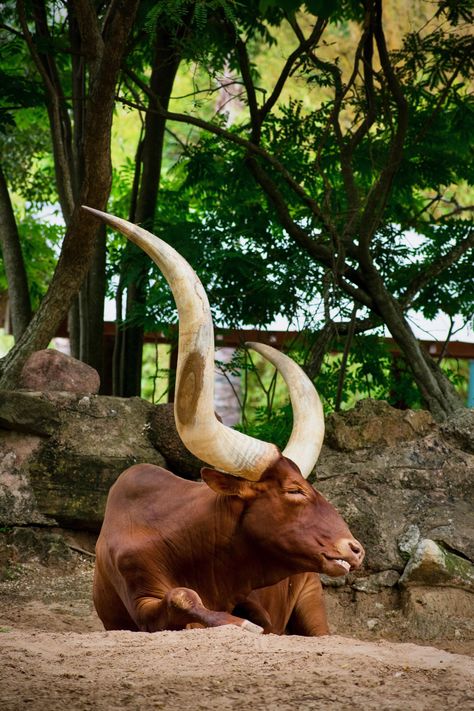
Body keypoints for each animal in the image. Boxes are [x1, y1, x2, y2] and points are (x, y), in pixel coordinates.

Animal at [83, 206, 364, 636]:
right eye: (295, 490)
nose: (354, 549)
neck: (186, 542)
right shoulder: (139, 599)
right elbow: (181, 597)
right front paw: (234, 623)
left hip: (311, 595)